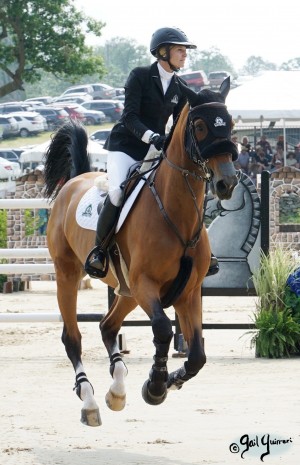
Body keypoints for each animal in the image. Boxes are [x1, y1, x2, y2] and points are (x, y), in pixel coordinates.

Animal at [43, 77, 239, 428]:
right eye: (200, 126)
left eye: (229, 124)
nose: (226, 182)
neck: (176, 212)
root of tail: (75, 181)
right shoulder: (146, 284)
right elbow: (162, 329)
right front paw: (156, 384)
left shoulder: (188, 292)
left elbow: (197, 354)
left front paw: (168, 381)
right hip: (69, 274)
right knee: (72, 337)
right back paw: (89, 400)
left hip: (127, 291)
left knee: (108, 326)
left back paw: (117, 391)